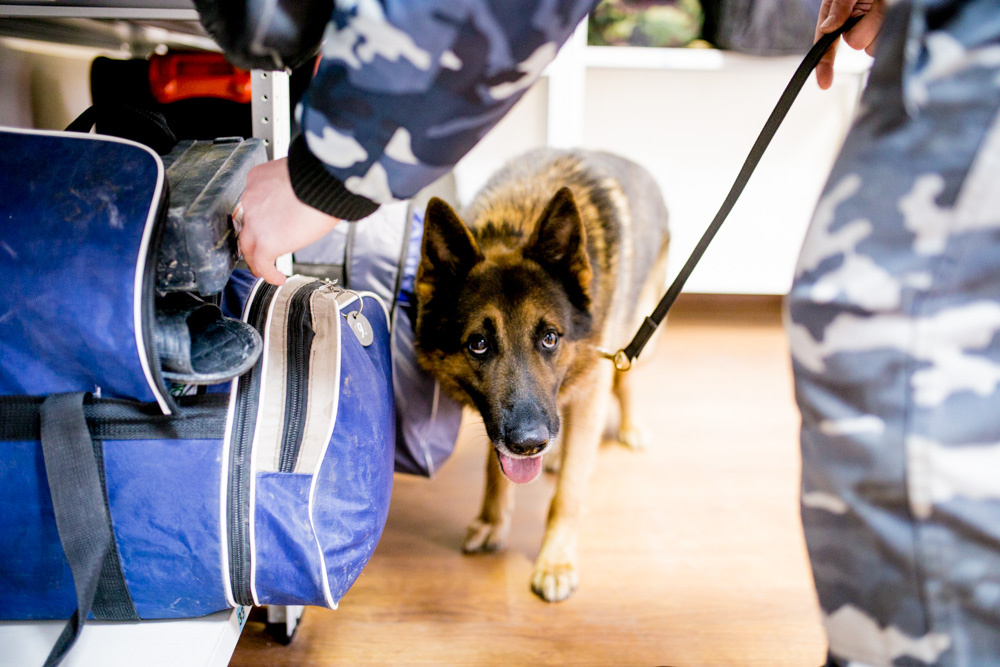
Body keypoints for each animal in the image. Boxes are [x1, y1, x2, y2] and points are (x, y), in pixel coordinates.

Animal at [414, 149, 672, 604]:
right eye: (478, 344)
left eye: (550, 337)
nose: (531, 443)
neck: (515, 222)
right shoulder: (502, 421)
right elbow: (494, 470)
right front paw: (493, 522)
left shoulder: (590, 390)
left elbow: (568, 493)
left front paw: (555, 560)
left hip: (636, 332)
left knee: (625, 378)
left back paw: (627, 427)